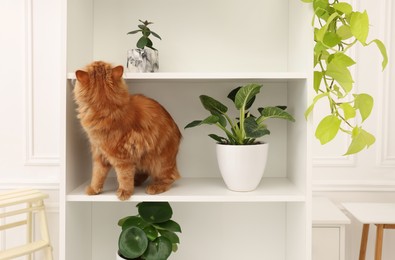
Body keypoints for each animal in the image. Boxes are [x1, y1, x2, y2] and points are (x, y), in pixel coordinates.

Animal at [73, 62, 182, 200]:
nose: (97, 61)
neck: (104, 107)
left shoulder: (122, 157)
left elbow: (123, 176)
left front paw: (124, 192)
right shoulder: (99, 154)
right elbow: (97, 175)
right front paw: (94, 189)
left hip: (159, 162)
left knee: (170, 178)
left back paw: (155, 187)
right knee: (144, 174)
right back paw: (136, 182)